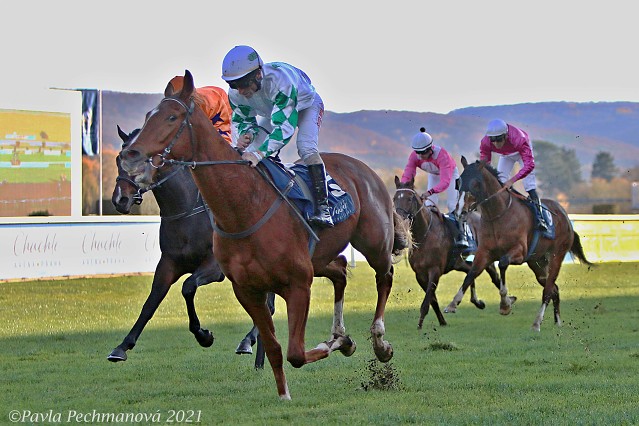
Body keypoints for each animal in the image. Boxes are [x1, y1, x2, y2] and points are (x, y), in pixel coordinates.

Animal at [120, 70, 410, 400]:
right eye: (148, 116)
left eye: (171, 117)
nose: (129, 156)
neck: (244, 207)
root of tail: (365, 168)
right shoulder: (246, 289)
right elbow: (273, 347)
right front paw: (286, 391)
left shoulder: (297, 284)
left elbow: (295, 352)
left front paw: (336, 344)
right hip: (320, 257)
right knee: (339, 270)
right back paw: (340, 334)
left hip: (374, 242)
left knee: (384, 276)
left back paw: (380, 342)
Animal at [392, 175, 516, 328]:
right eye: (394, 198)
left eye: (409, 198)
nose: (399, 219)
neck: (425, 235)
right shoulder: (420, 274)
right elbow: (432, 300)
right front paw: (442, 321)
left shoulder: (435, 270)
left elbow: (426, 302)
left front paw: (420, 325)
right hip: (461, 263)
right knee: (470, 273)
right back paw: (477, 301)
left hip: (485, 258)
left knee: (494, 277)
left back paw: (507, 300)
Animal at [448, 158, 592, 332]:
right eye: (458, 182)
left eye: (476, 183)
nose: (459, 212)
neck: (498, 214)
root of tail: (564, 215)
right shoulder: (484, 252)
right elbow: (471, 273)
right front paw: (453, 303)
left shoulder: (519, 252)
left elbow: (502, 264)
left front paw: (505, 304)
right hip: (537, 262)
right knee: (554, 289)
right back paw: (557, 322)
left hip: (556, 256)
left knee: (548, 290)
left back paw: (537, 323)